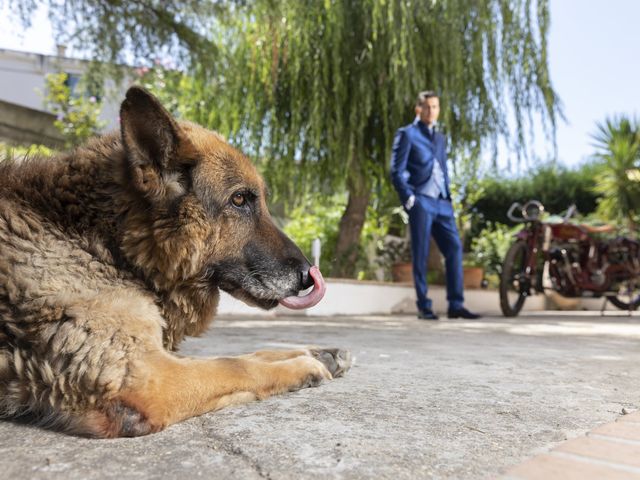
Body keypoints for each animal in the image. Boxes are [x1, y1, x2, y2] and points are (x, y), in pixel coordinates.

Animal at [0, 87, 350, 438]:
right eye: (239, 199)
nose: (309, 276)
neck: (109, 243)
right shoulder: (148, 378)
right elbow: (235, 365)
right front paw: (303, 365)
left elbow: (245, 353)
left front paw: (316, 352)